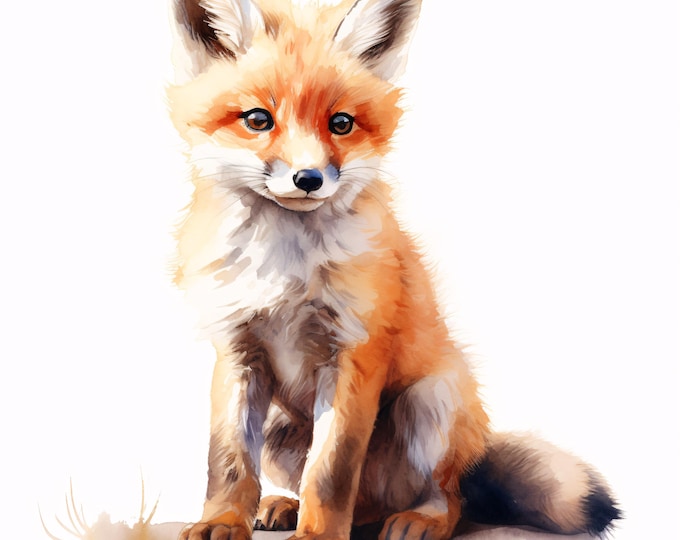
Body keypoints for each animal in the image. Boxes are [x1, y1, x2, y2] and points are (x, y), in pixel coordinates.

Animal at [167, 0, 621, 539]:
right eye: (258, 119)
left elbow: (331, 471)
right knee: (354, 501)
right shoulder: (238, 351)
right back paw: (286, 506)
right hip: (282, 427)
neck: (286, 274)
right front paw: (222, 520)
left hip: (431, 402)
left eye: (341, 123)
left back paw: (419, 518)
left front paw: (319, 535)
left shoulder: (353, 354)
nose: (308, 178)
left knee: (448, 498)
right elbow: (230, 460)